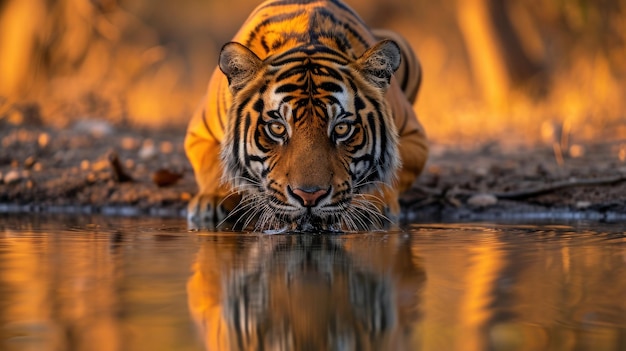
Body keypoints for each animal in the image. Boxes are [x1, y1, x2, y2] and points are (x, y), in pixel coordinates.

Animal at [183, 0, 426, 232]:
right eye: (277, 128)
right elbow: (214, 165)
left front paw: (371, 203)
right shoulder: (200, 133)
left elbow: (389, 171)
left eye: (342, 128)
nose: (309, 196)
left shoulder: (414, 137)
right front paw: (211, 200)